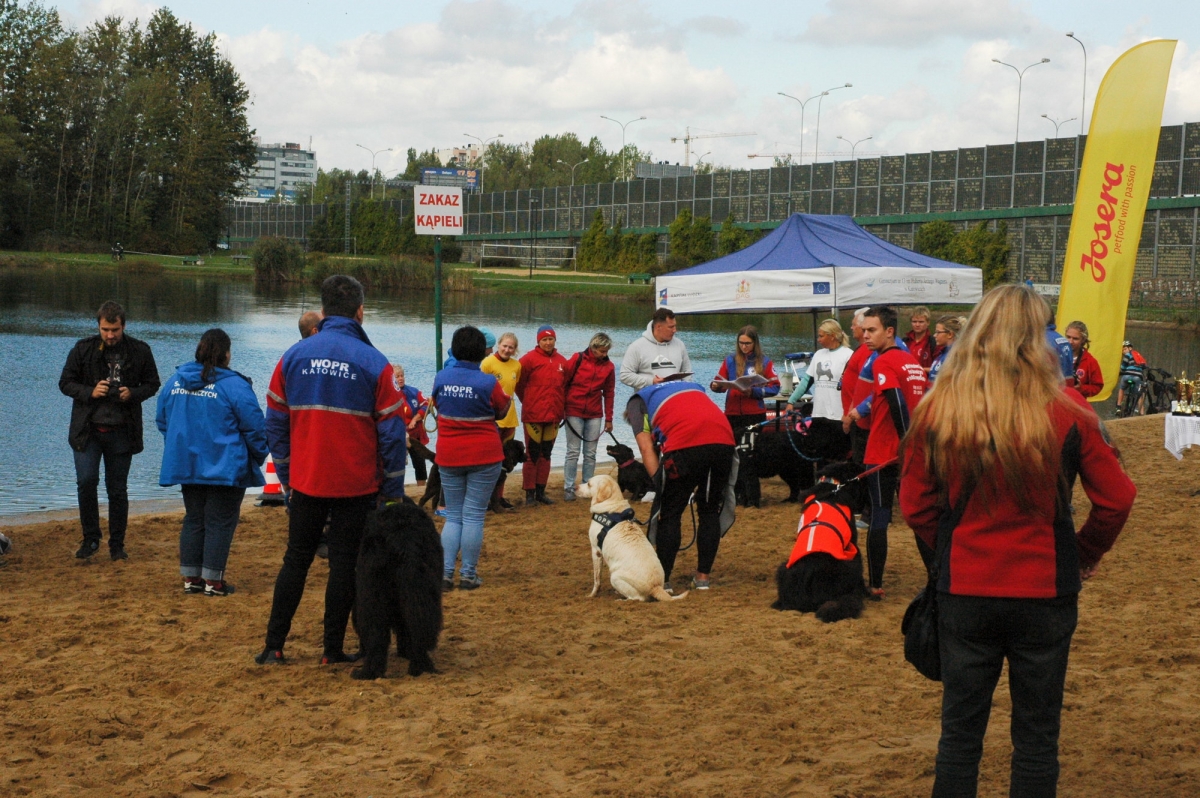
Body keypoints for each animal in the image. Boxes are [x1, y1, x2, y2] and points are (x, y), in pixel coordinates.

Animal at [350, 499, 446, 676]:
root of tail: (403, 533)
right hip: (421, 590)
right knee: (416, 628)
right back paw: (420, 666)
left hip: (373, 593)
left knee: (377, 634)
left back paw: (369, 672)